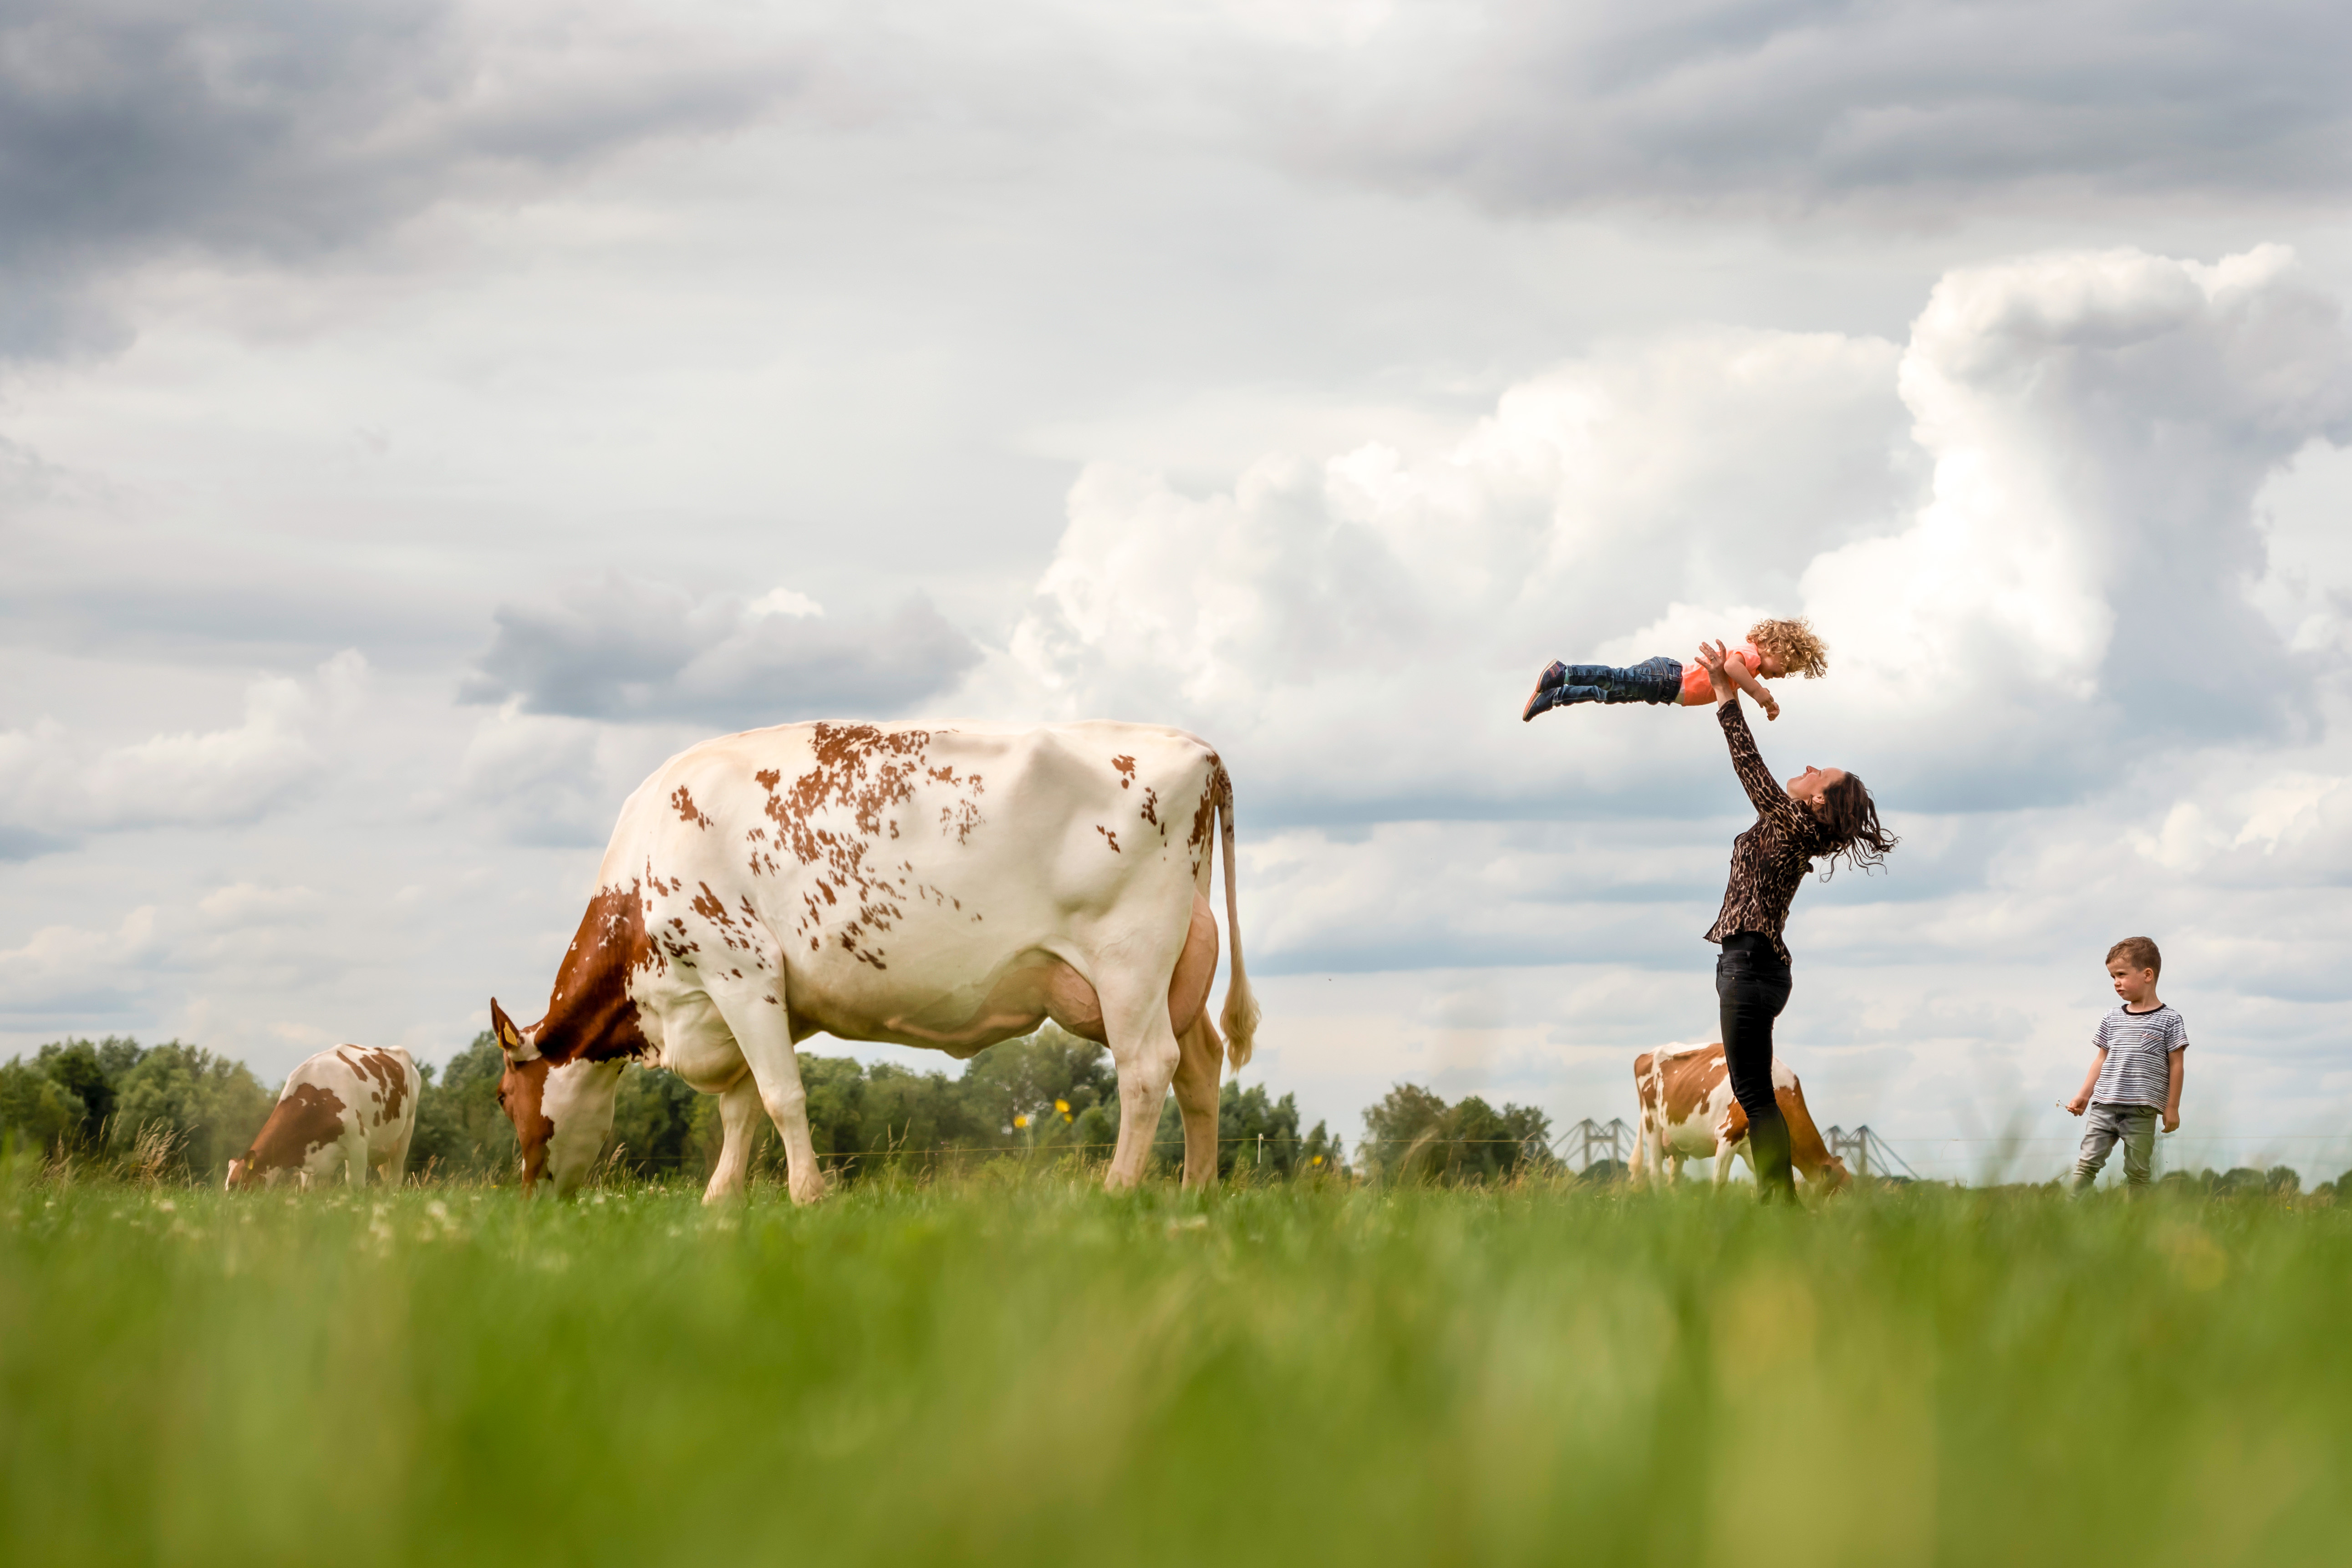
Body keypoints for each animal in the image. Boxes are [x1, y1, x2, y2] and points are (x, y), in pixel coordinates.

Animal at [224, 1044, 418, 1189]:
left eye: (235, 1186)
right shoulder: (306, 1159)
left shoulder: (359, 1142)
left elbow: (356, 1186)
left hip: (406, 1130)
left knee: (396, 1176)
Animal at [489, 719, 1260, 1213]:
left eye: (501, 1097)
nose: (528, 1201)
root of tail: (1196, 748)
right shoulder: (744, 998)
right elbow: (741, 1108)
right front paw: (719, 1203)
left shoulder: (737, 966)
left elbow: (780, 1097)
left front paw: (807, 1198)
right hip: (1175, 968)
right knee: (1199, 1067)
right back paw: (1194, 1195)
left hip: (1128, 960)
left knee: (1146, 1069)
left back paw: (1117, 1191)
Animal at [1627, 1044, 1844, 1189]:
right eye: (1836, 1191)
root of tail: (1647, 1054)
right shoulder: (1727, 1135)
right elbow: (1720, 1183)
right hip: (1651, 1124)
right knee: (1656, 1173)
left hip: (1677, 1140)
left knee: (1674, 1180)